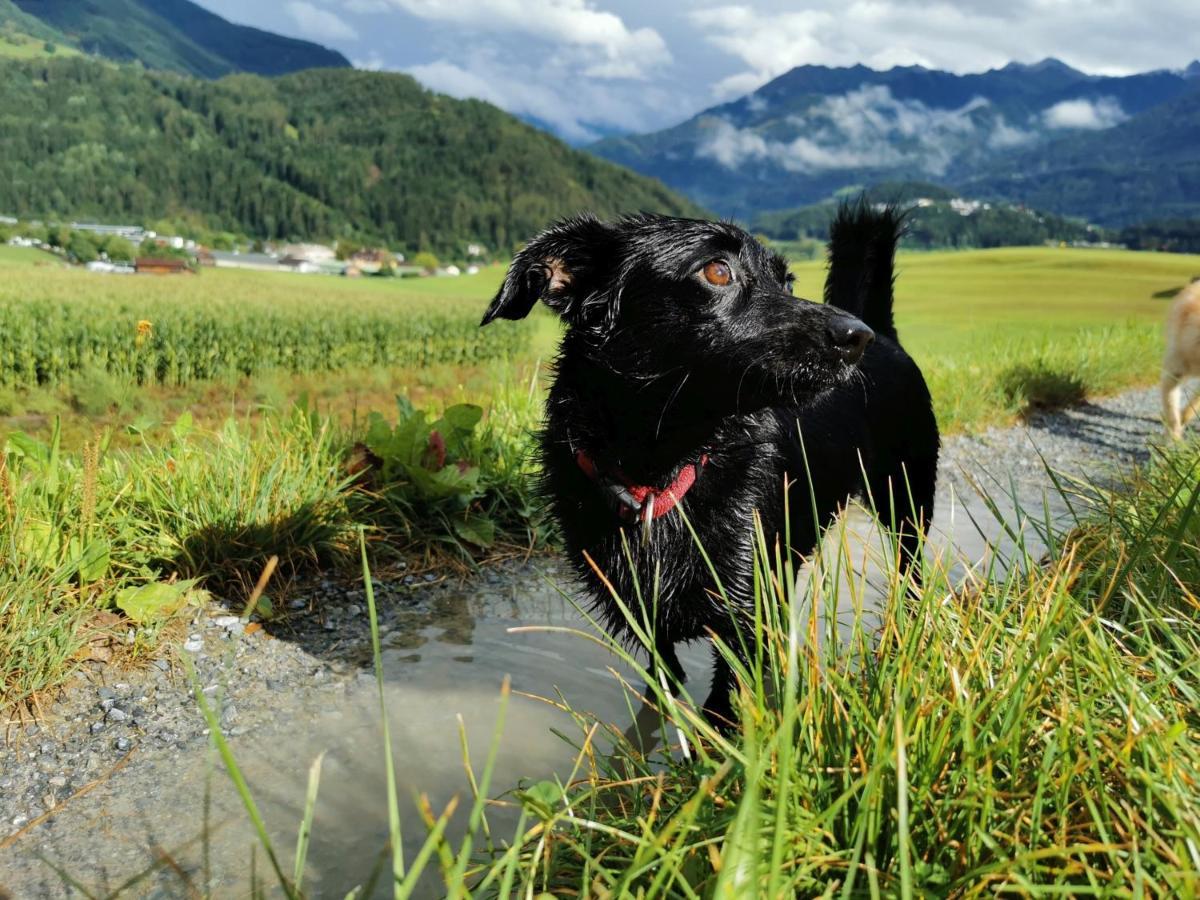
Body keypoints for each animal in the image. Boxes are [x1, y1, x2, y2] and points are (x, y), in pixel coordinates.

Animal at [477, 204, 936, 724]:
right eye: (717, 271)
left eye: (786, 281)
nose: (857, 337)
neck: (660, 474)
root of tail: (886, 332)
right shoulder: (644, 618)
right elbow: (664, 686)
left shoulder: (746, 619)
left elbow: (722, 712)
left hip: (906, 500)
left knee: (911, 573)